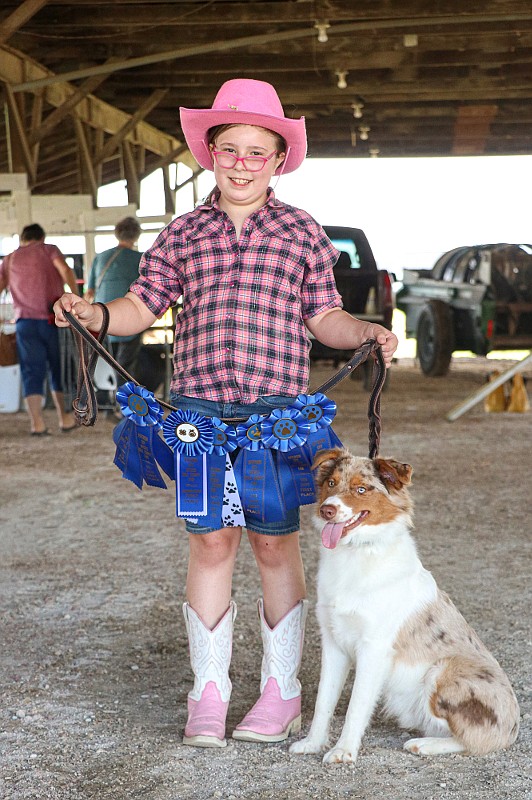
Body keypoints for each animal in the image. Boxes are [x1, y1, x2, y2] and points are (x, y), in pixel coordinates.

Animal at [290, 446, 520, 764]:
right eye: (332, 484)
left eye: (361, 489)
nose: (328, 510)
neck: (358, 553)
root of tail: (514, 728)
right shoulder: (334, 643)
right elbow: (324, 701)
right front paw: (313, 743)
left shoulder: (374, 648)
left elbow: (355, 707)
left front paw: (344, 750)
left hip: (441, 671)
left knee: (476, 740)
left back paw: (425, 745)